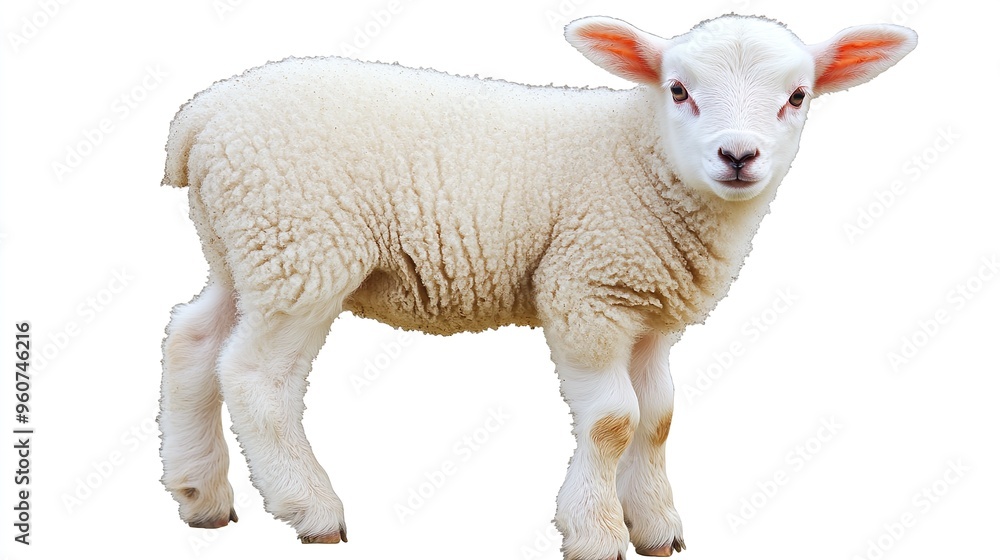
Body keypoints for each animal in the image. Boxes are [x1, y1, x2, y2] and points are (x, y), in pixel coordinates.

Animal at [157, 13, 916, 559]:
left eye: (798, 96)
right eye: (677, 90)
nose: (738, 155)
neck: (640, 157)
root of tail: (203, 114)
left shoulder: (650, 310)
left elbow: (659, 417)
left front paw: (656, 526)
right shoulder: (586, 290)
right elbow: (613, 420)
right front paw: (596, 533)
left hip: (243, 247)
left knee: (192, 338)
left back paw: (200, 494)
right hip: (304, 247)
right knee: (254, 376)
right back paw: (310, 507)